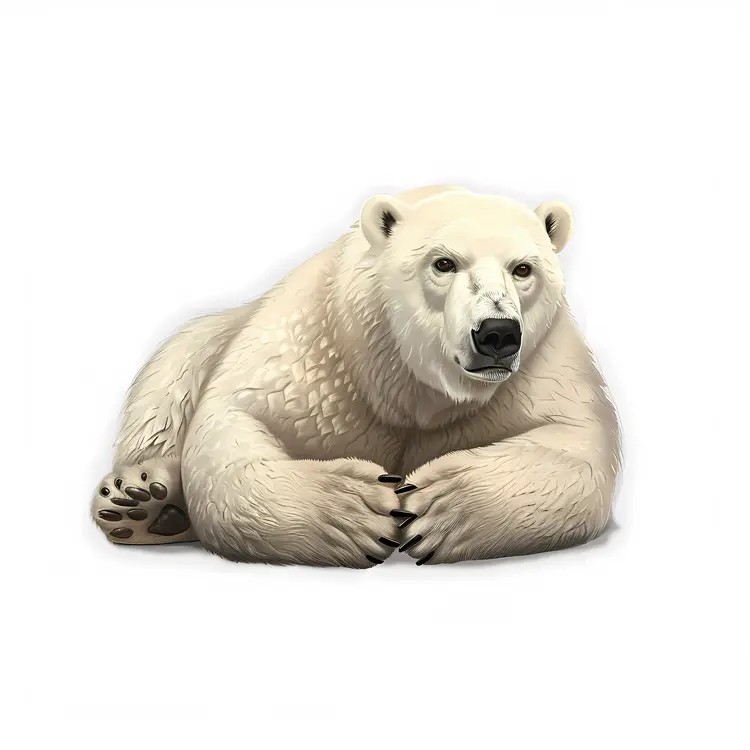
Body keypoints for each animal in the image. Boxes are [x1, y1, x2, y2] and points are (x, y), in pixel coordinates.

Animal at [91, 185, 621, 566]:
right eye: (443, 263)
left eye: (523, 268)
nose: (497, 334)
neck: (410, 382)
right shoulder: (319, 357)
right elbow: (235, 421)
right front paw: (357, 510)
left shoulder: (538, 367)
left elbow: (578, 444)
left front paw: (438, 506)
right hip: (193, 349)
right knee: (165, 388)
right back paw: (143, 500)